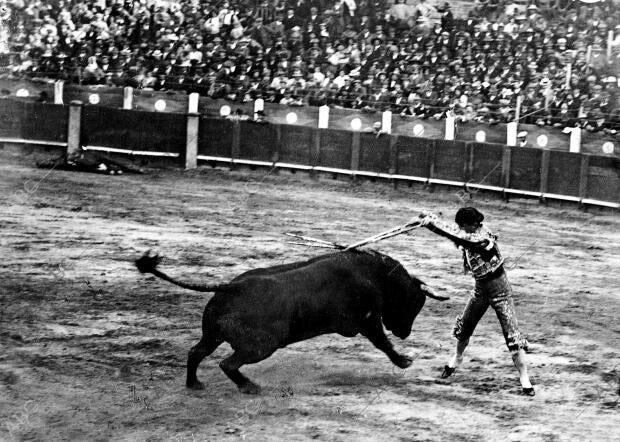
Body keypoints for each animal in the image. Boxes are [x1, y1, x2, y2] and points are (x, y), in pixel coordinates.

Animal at [134, 249, 446, 394]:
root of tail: (232, 287)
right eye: (415, 304)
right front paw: (404, 361)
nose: (405, 333)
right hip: (261, 346)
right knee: (227, 363)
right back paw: (249, 387)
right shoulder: (368, 322)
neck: (377, 275)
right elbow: (383, 343)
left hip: (212, 334)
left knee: (196, 352)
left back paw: (194, 384)